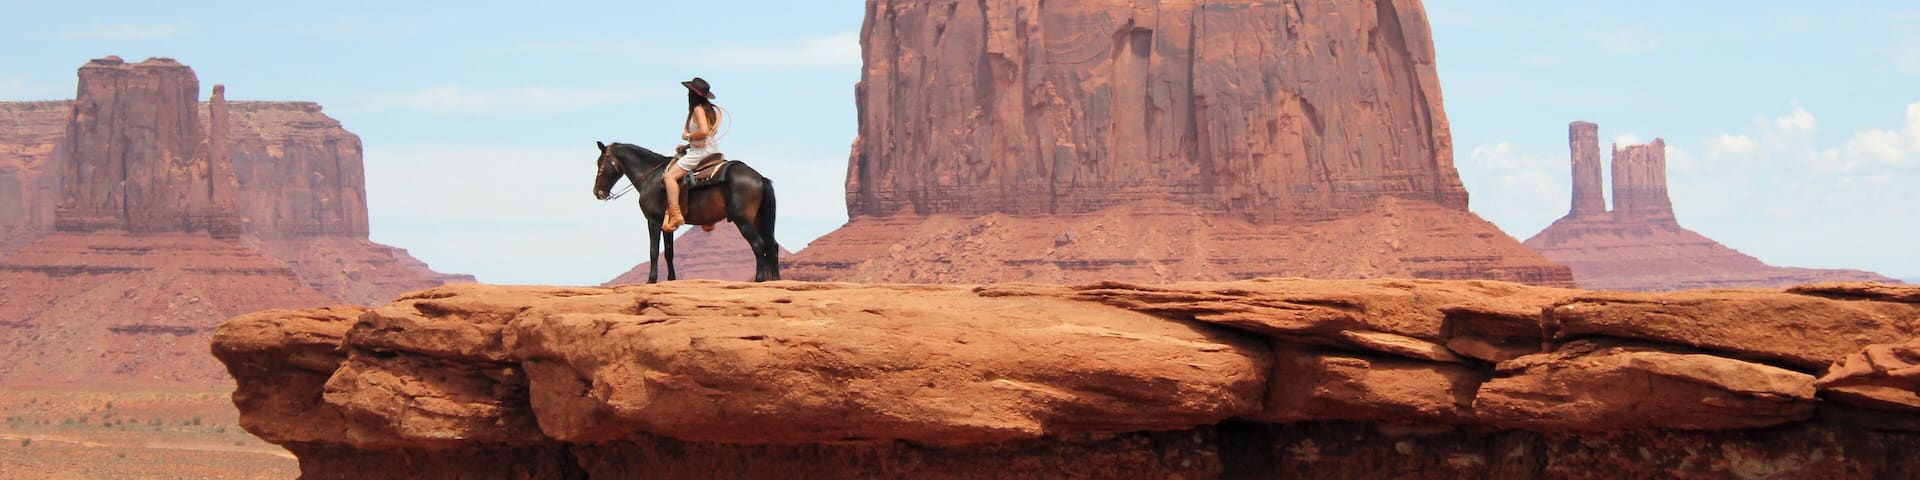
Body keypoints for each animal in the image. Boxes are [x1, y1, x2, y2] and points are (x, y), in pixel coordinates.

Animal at [592, 141, 780, 282]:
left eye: (600, 162)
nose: (598, 192)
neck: (652, 178)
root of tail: (759, 178)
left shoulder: (653, 220)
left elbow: (653, 251)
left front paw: (651, 280)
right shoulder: (667, 224)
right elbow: (669, 252)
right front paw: (671, 279)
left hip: (743, 221)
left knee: (758, 245)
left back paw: (759, 279)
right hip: (759, 220)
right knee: (772, 246)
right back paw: (776, 280)